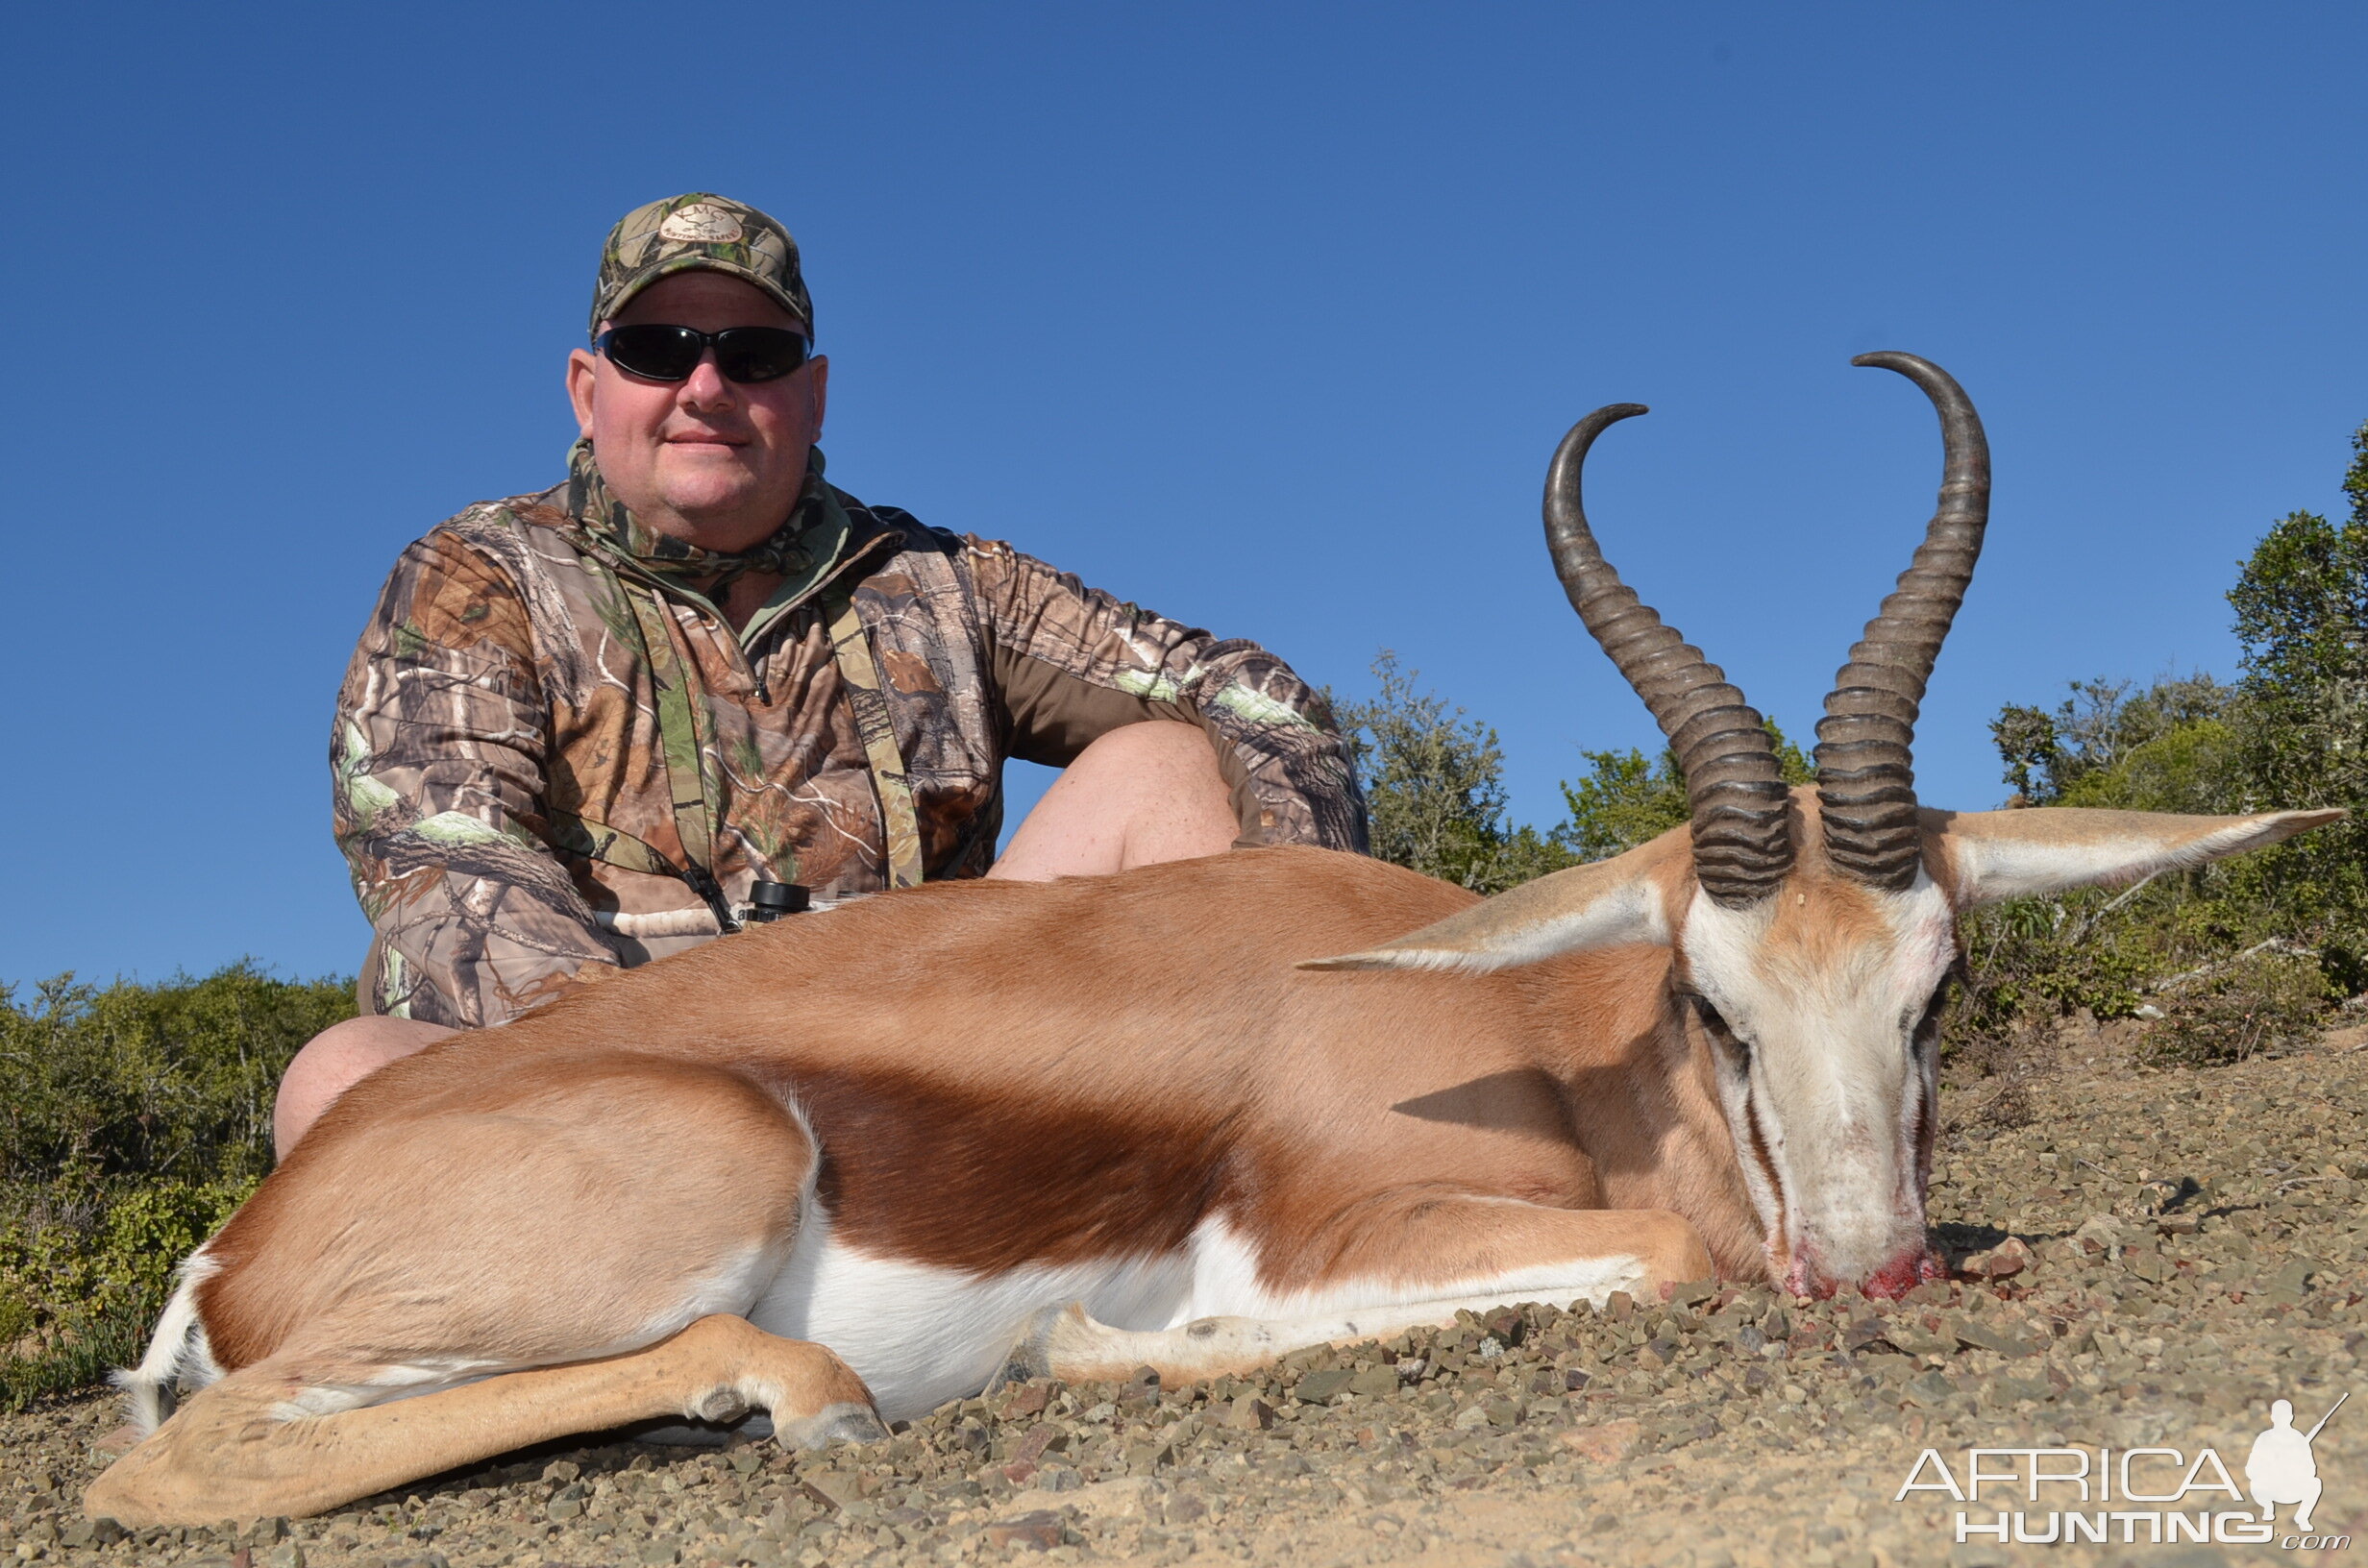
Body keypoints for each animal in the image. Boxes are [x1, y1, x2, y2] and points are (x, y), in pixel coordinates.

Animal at [87, 353, 2330, 1525]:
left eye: (1936, 990)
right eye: (1708, 1001)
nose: (1862, 1270)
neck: (1532, 1042)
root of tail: (244, 1242)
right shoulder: (1346, 1234)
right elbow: (1655, 1257)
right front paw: (1089, 1344)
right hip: (702, 1176)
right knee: (172, 1471)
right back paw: (787, 1397)